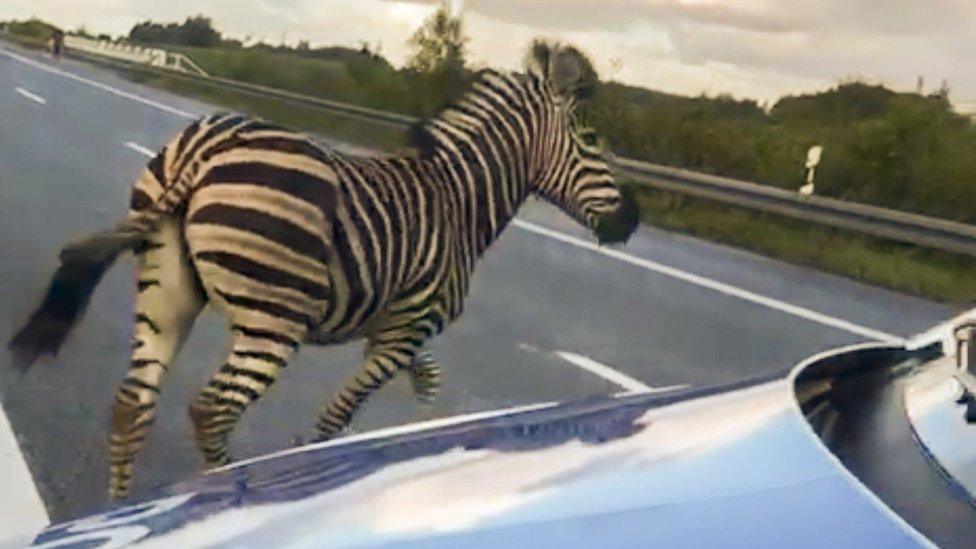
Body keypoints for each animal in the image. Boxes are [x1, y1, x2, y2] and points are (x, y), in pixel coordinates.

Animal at [11, 40, 644, 498]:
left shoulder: (399, 329)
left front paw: (433, 439)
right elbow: (338, 416)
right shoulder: (404, 330)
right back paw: (227, 492)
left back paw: (120, 508)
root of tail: (204, 148)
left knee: (132, 404)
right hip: (274, 319)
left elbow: (430, 384)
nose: (633, 220)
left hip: (167, 292)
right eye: (592, 140)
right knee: (211, 410)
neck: (460, 202)